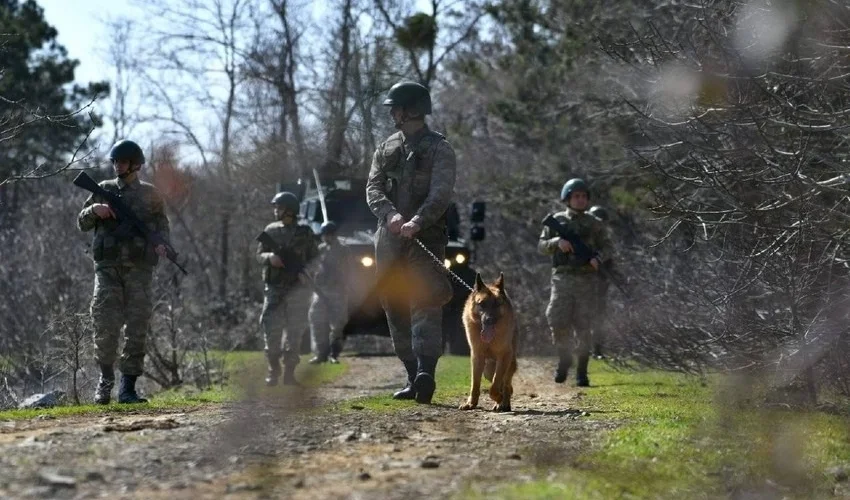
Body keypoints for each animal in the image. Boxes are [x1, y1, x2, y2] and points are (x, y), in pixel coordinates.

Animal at [458, 272, 516, 412]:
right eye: (482, 304)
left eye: (497, 304)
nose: (489, 320)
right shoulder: (477, 357)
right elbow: (475, 384)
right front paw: (471, 403)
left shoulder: (504, 356)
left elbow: (494, 386)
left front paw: (499, 398)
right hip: (488, 370)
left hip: (508, 364)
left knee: (506, 385)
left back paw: (504, 403)